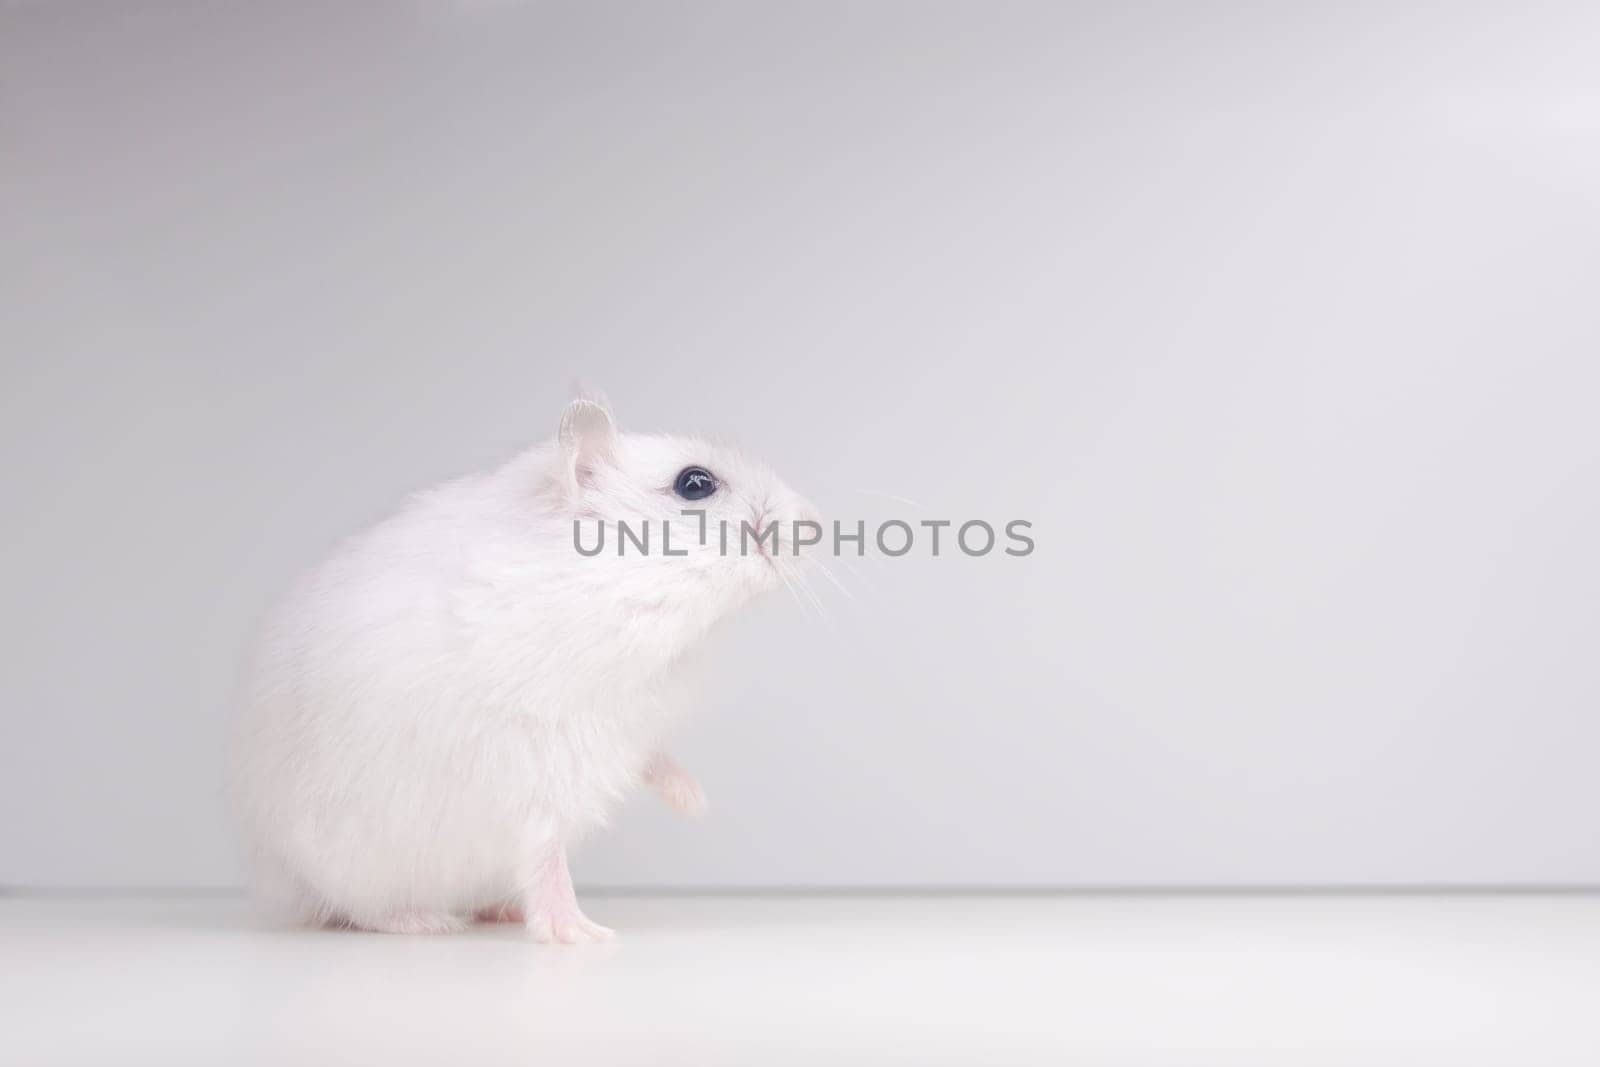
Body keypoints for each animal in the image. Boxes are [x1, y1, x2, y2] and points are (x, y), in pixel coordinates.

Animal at [228, 395, 812, 940]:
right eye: (695, 484)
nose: (810, 519)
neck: (625, 595)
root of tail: (279, 883)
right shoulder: (540, 757)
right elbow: (544, 852)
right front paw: (586, 936)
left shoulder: (635, 723)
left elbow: (655, 760)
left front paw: (696, 804)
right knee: (370, 907)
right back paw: (440, 922)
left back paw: (500, 912)